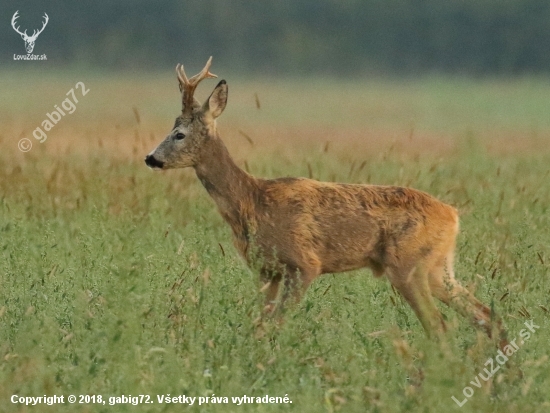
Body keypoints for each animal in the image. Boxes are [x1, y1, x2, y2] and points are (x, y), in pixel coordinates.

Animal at [144, 57, 506, 342]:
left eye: (179, 134)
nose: (150, 158)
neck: (252, 202)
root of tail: (453, 215)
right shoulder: (265, 269)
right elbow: (259, 325)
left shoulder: (305, 262)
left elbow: (277, 325)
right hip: (438, 267)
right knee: (485, 314)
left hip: (408, 265)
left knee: (439, 326)